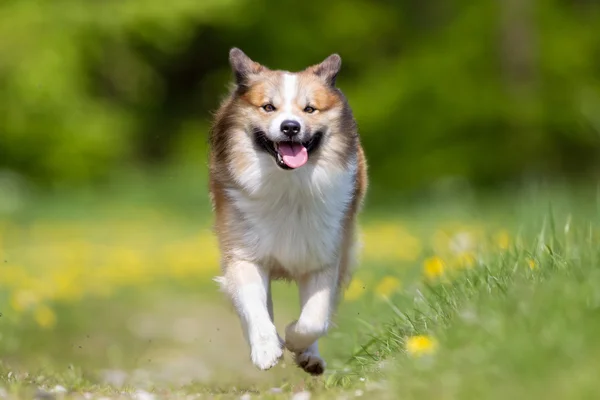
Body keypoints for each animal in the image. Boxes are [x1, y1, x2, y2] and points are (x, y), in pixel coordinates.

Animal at [211, 47, 368, 376]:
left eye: (309, 109)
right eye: (268, 107)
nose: (290, 127)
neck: (288, 185)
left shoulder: (324, 256)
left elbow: (314, 319)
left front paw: (295, 341)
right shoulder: (244, 254)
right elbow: (254, 306)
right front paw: (267, 348)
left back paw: (309, 356)